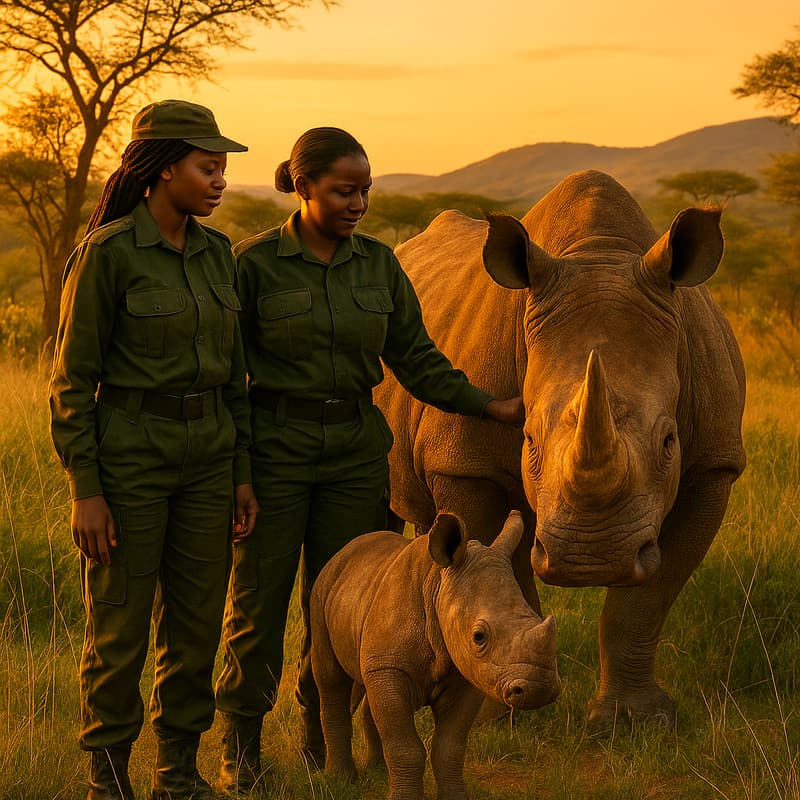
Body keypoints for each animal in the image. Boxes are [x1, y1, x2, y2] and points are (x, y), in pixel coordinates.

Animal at [310, 510, 560, 800]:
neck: (437, 585)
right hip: (322, 588)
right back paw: (340, 779)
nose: (538, 690)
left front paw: (456, 797)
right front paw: (402, 798)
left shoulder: (467, 674)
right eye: (479, 637)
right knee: (330, 679)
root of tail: (346, 550)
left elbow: (449, 747)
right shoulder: (391, 666)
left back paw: (378, 773)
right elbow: (405, 746)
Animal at [374, 170, 746, 730]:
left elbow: (644, 602)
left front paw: (634, 723)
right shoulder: (466, 464)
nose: (589, 560)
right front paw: (499, 716)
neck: (598, 253)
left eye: (668, 442)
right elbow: (500, 575)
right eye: (528, 439)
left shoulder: (713, 465)